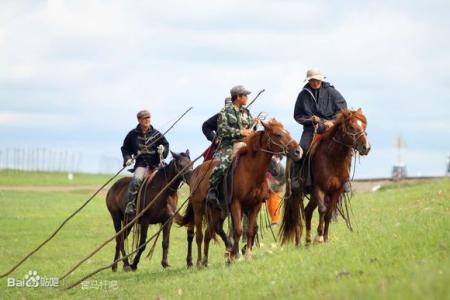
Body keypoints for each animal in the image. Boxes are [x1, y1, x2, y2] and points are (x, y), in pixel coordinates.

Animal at [177, 118, 302, 266]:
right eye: (278, 135)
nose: (298, 151)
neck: (250, 171)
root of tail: (196, 172)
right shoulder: (236, 204)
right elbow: (238, 230)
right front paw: (235, 255)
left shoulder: (255, 205)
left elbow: (250, 230)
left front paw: (247, 254)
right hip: (199, 208)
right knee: (199, 235)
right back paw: (199, 262)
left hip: (218, 211)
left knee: (211, 232)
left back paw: (208, 259)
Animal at [282, 109, 372, 245]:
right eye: (351, 126)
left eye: (364, 126)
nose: (366, 147)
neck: (333, 158)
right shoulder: (319, 188)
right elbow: (323, 210)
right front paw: (319, 237)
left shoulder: (336, 190)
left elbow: (329, 213)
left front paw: (325, 238)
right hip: (296, 194)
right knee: (296, 216)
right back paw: (298, 243)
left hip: (313, 196)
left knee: (307, 211)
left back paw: (308, 240)